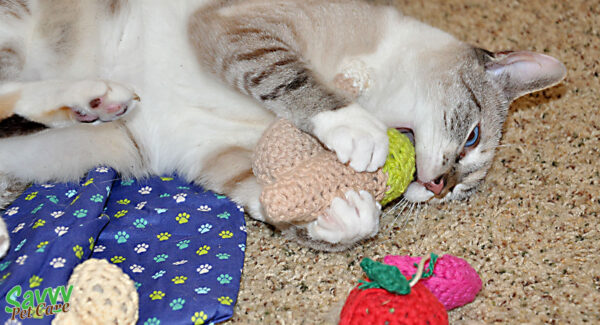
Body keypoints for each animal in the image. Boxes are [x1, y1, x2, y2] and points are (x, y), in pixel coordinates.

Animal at [0, 0, 564, 253]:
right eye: (471, 138)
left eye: (462, 193)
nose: (440, 185)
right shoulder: (236, 25)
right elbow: (287, 77)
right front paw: (355, 129)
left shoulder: (220, 157)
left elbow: (270, 199)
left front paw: (345, 215)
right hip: (18, 28)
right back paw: (94, 95)